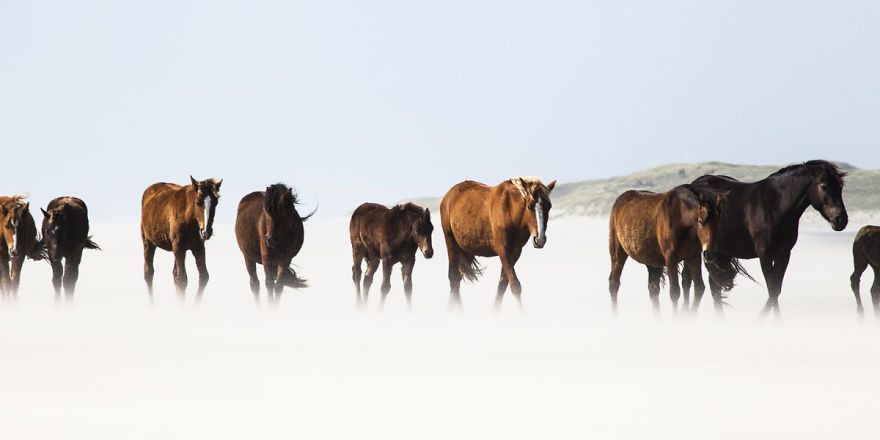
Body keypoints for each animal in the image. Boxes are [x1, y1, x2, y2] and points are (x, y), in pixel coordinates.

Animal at [440, 177, 556, 309]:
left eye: (549, 207)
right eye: (529, 207)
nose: (540, 239)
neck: (509, 210)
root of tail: (449, 194)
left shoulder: (515, 253)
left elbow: (502, 285)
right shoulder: (503, 251)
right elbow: (515, 285)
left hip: (467, 249)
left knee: (457, 280)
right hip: (451, 243)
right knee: (453, 279)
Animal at [608, 185, 739, 313]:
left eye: (719, 222)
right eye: (700, 221)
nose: (710, 254)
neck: (682, 219)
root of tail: (619, 201)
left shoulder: (693, 257)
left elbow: (699, 287)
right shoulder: (671, 258)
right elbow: (675, 292)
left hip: (653, 262)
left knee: (653, 289)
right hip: (617, 253)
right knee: (614, 283)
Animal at [692, 160, 848, 315]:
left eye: (840, 186)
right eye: (824, 186)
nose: (841, 220)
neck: (775, 206)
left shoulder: (783, 255)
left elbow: (776, 290)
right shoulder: (765, 255)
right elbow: (772, 289)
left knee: (714, 287)